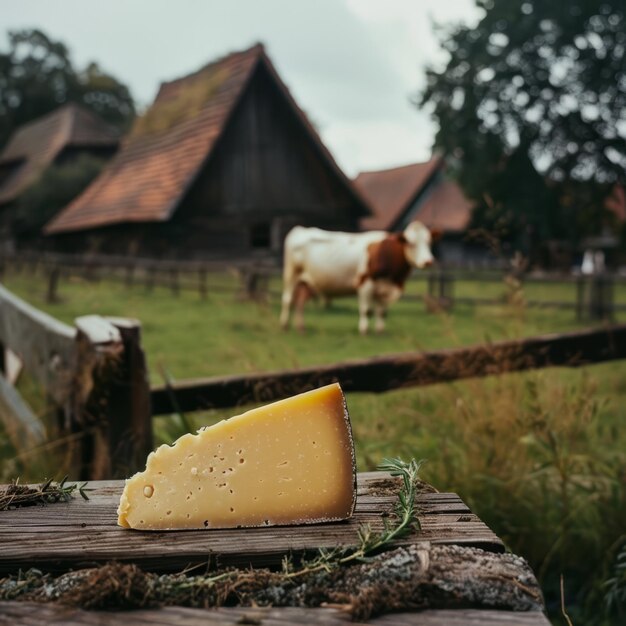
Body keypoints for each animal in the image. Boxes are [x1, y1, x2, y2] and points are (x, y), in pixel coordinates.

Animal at [280, 222, 434, 334]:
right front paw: (364, 330)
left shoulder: (384, 288)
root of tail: (300, 229)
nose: (428, 261)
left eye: (429, 242)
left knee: (300, 303)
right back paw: (285, 326)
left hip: (305, 283)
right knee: (288, 300)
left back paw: (301, 328)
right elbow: (367, 310)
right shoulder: (365, 283)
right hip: (291, 275)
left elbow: (382, 311)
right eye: (411, 243)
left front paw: (380, 330)